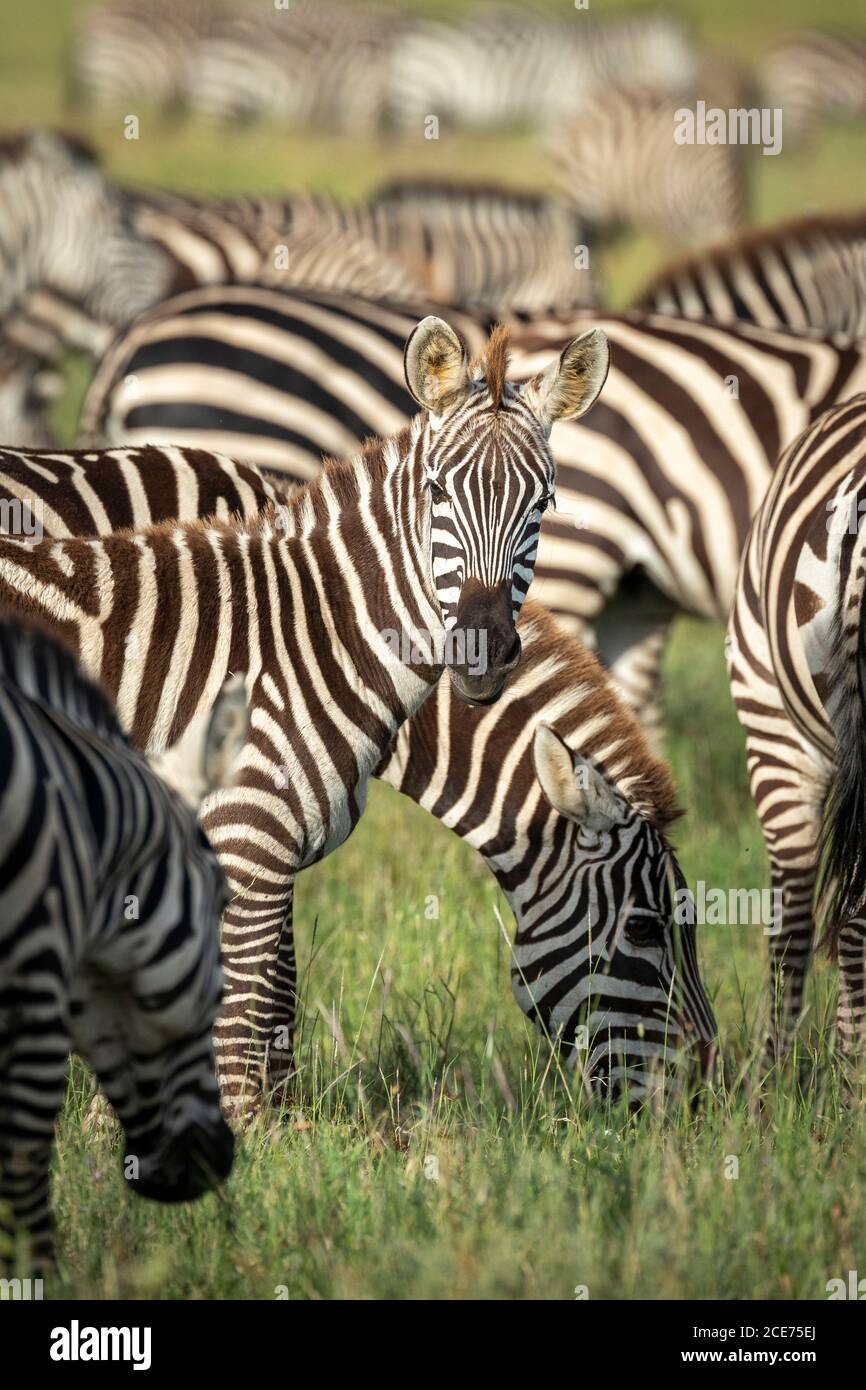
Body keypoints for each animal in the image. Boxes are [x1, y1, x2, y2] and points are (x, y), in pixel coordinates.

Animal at [0, 315, 608, 1106]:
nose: (481, 652)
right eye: (437, 493)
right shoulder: (241, 846)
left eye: (542, 505)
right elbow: (237, 1033)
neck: (309, 628)